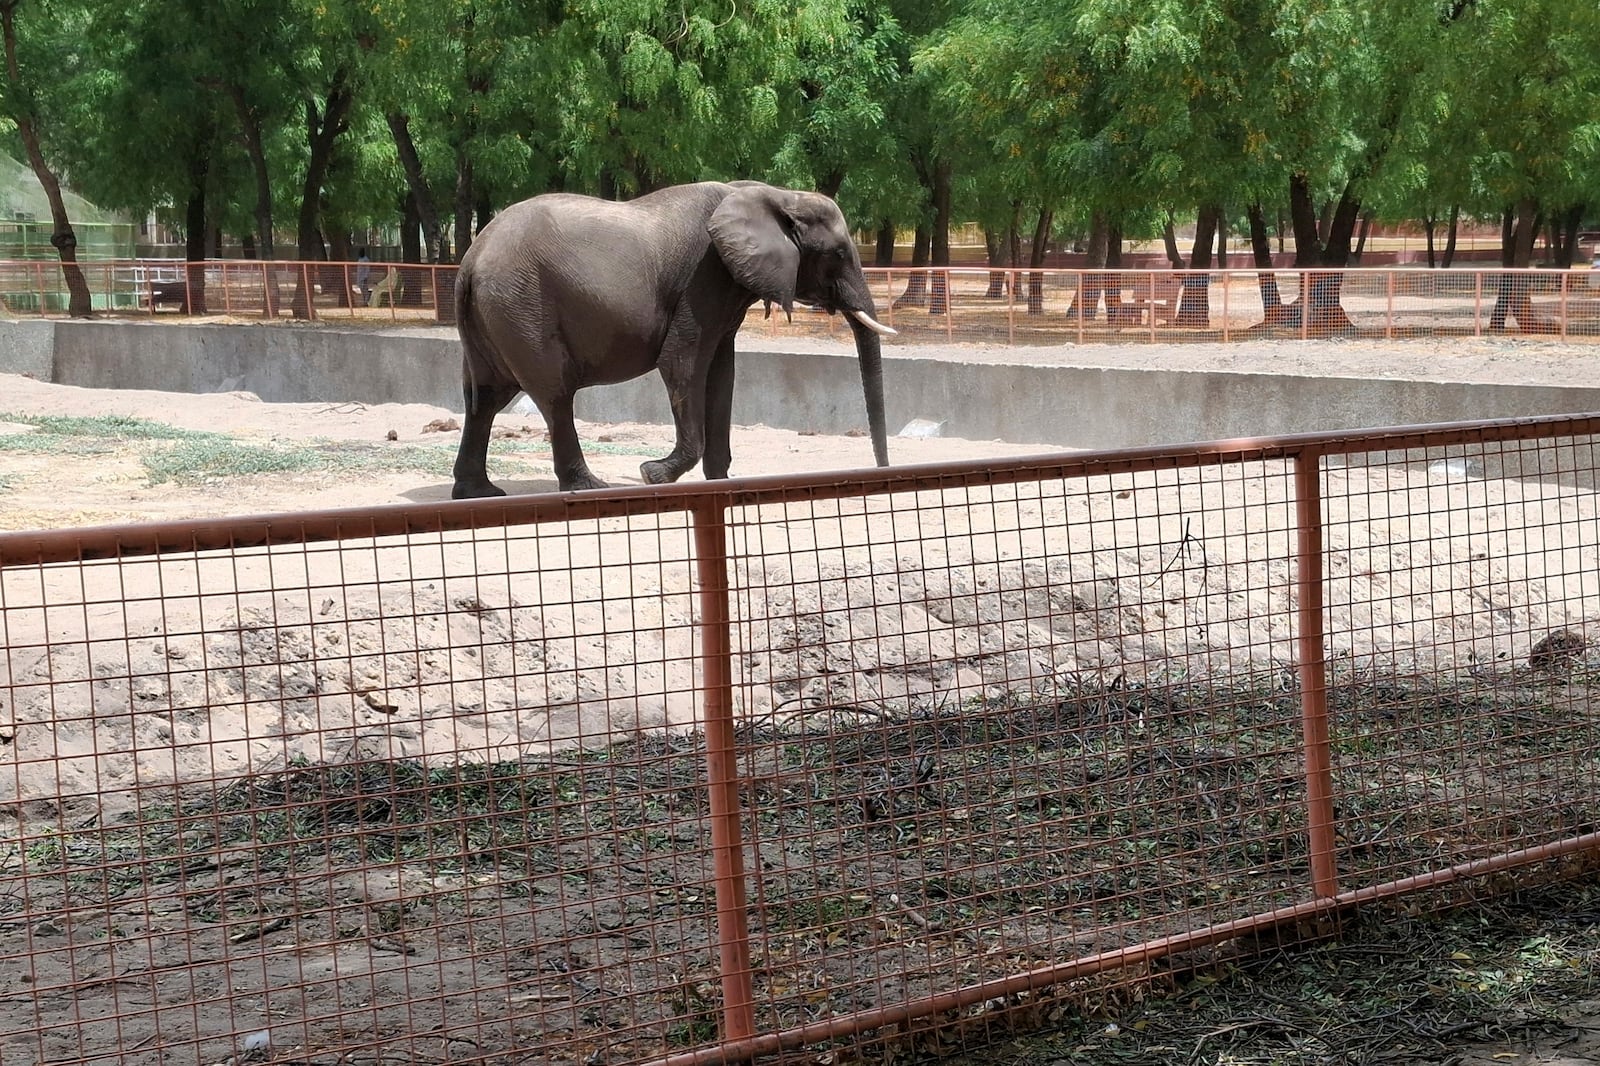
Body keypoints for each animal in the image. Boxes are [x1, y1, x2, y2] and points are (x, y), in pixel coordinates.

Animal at [451, 180, 896, 496]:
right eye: (838, 254)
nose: (882, 477)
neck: (774, 193)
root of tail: (470, 259)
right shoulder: (704, 277)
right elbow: (683, 363)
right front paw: (653, 474)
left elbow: (721, 376)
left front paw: (721, 485)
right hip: (522, 305)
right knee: (554, 394)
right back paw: (588, 487)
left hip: (496, 314)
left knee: (485, 397)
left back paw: (480, 493)